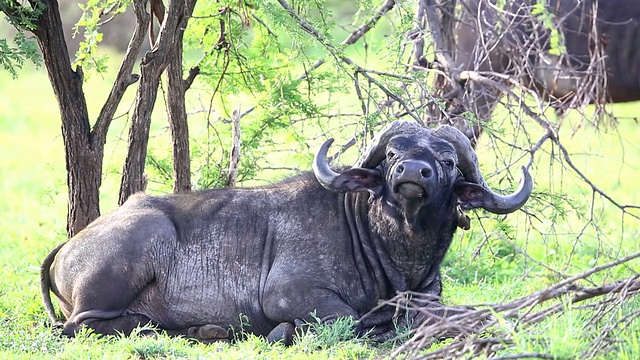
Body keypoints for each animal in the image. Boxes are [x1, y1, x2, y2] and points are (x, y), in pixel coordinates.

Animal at [37, 121, 532, 344]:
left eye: (447, 161)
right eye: (393, 153)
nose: (412, 171)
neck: (394, 250)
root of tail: (70, 244)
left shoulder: (429, 297)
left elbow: (464, 313)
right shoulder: (288, 293)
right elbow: (351, 319)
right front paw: (285, 331)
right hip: (136, 246)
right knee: (84, 325)